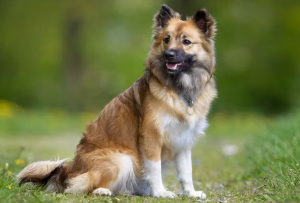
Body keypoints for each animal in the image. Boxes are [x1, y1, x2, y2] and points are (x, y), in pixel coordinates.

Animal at [17, 4, 217, 198]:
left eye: (186, 41)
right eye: (166, 39)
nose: (169, 54)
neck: (179, 89)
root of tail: (67, 172)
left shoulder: (183, 140)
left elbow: (186, 171)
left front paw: (190, 193)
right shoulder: (151, 136)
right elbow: (154, 168)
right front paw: (160, 192)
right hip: (122, 159)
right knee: (81, 187)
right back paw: (102, 191)